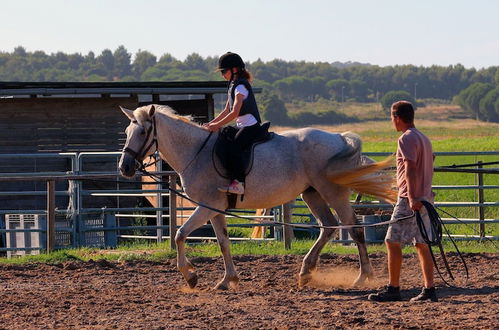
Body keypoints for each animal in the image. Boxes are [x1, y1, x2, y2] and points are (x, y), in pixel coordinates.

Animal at [119, 104, 396, 290]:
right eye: (127, 131)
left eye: (143, 132)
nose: (125, 167)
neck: (196, 152)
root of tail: (339, 138)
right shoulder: (215, 209)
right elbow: (223, 242)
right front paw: (227, 280)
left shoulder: (205, 207)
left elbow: (179, 235)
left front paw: (191, 276)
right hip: (312, 193)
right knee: (328, 226)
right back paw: (306, 271)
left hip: (332, 192)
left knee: (354, 228)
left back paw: (363, 276)